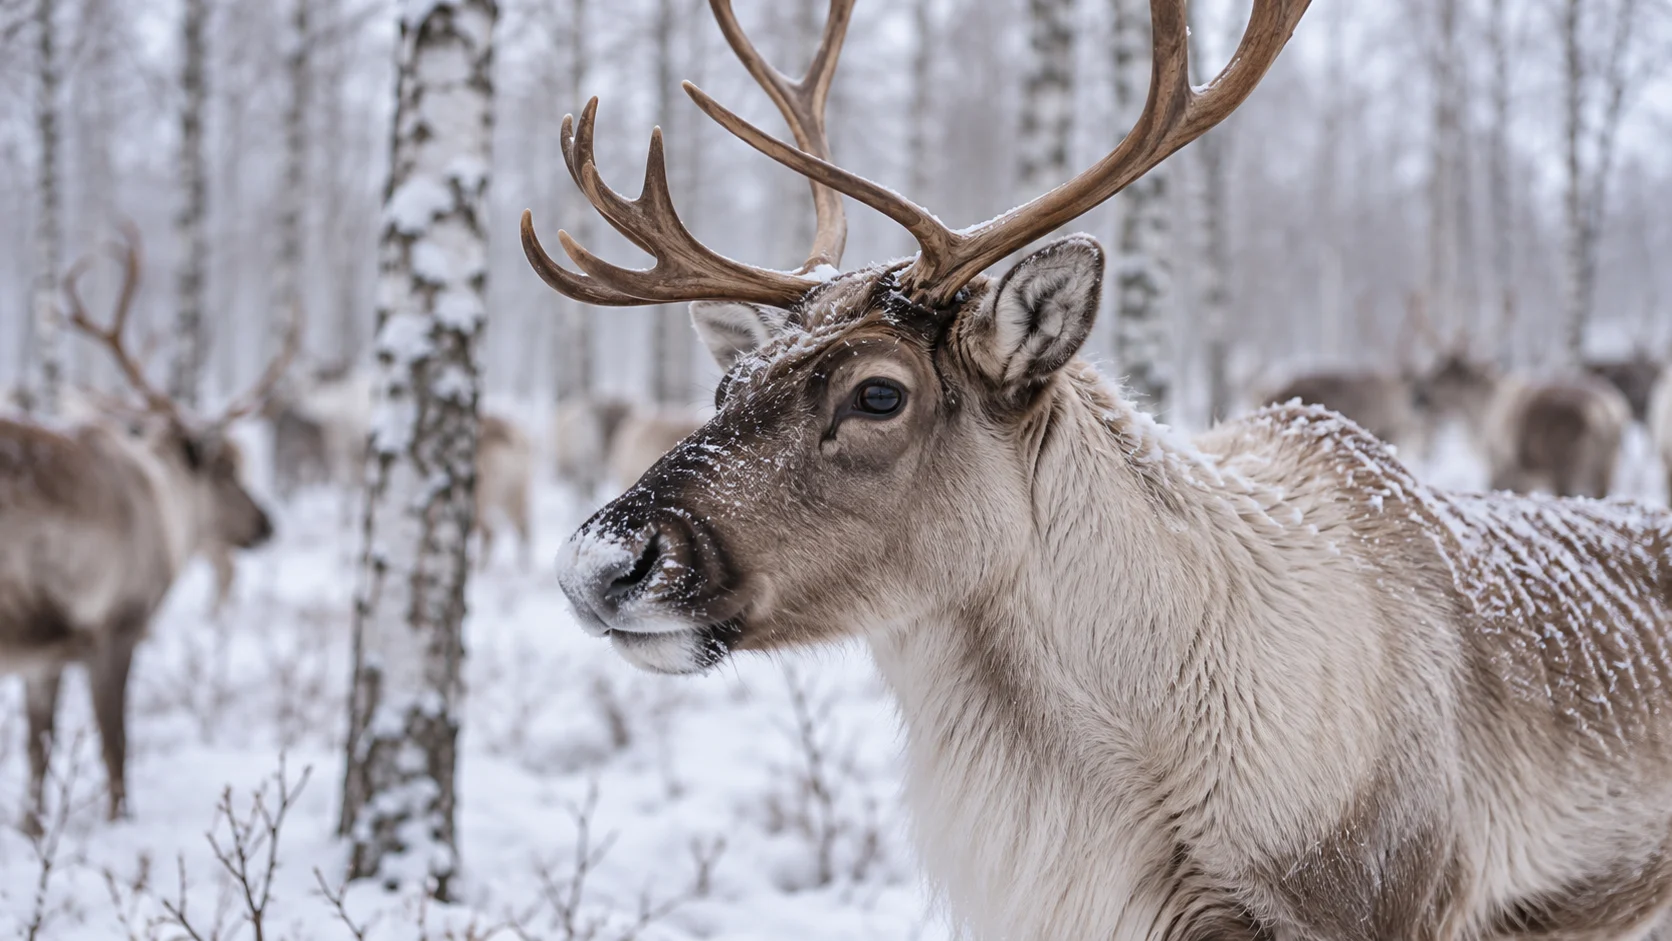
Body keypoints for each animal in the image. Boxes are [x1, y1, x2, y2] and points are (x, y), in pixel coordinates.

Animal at [0, 226, 285, 835]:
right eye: (225, 470)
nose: (267, 525)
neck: (162, 505)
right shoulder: (117, 627)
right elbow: (117, 744)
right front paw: (119, 822)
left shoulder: (45, 656)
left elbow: (38, 749)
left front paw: (32, 829)